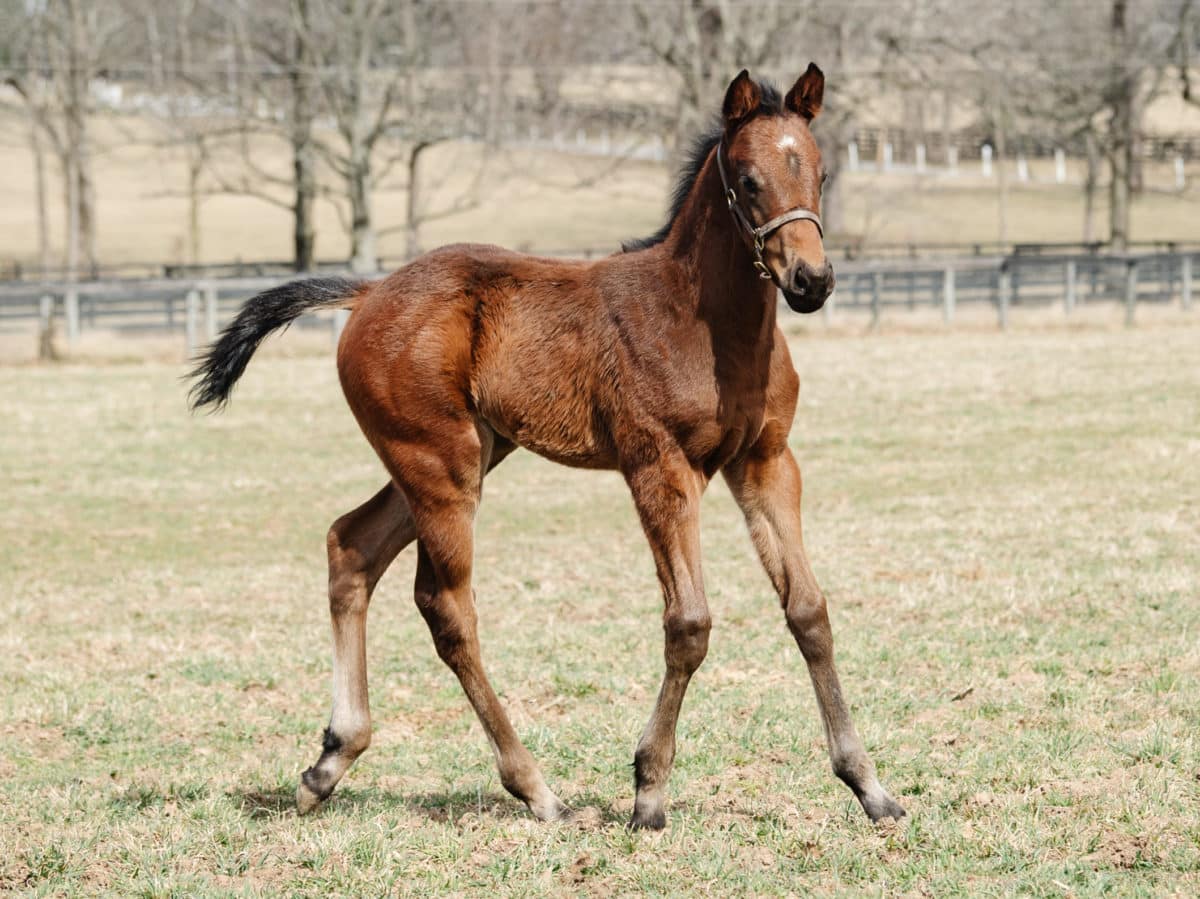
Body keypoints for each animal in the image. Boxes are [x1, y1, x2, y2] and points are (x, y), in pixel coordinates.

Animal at [189, 66, 902, 830]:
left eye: (820, 173)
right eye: (747, 179)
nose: (811, 281)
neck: (703, 321)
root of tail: (371, 290)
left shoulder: (765, 462)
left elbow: (809, 610)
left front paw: (869, 785)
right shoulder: (659, 467)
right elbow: (689, 621)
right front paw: (648, 792)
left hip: (467, 453)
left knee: (352, 546)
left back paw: (329, 761)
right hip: (438, 465)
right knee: (446, 606)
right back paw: (535, 787)